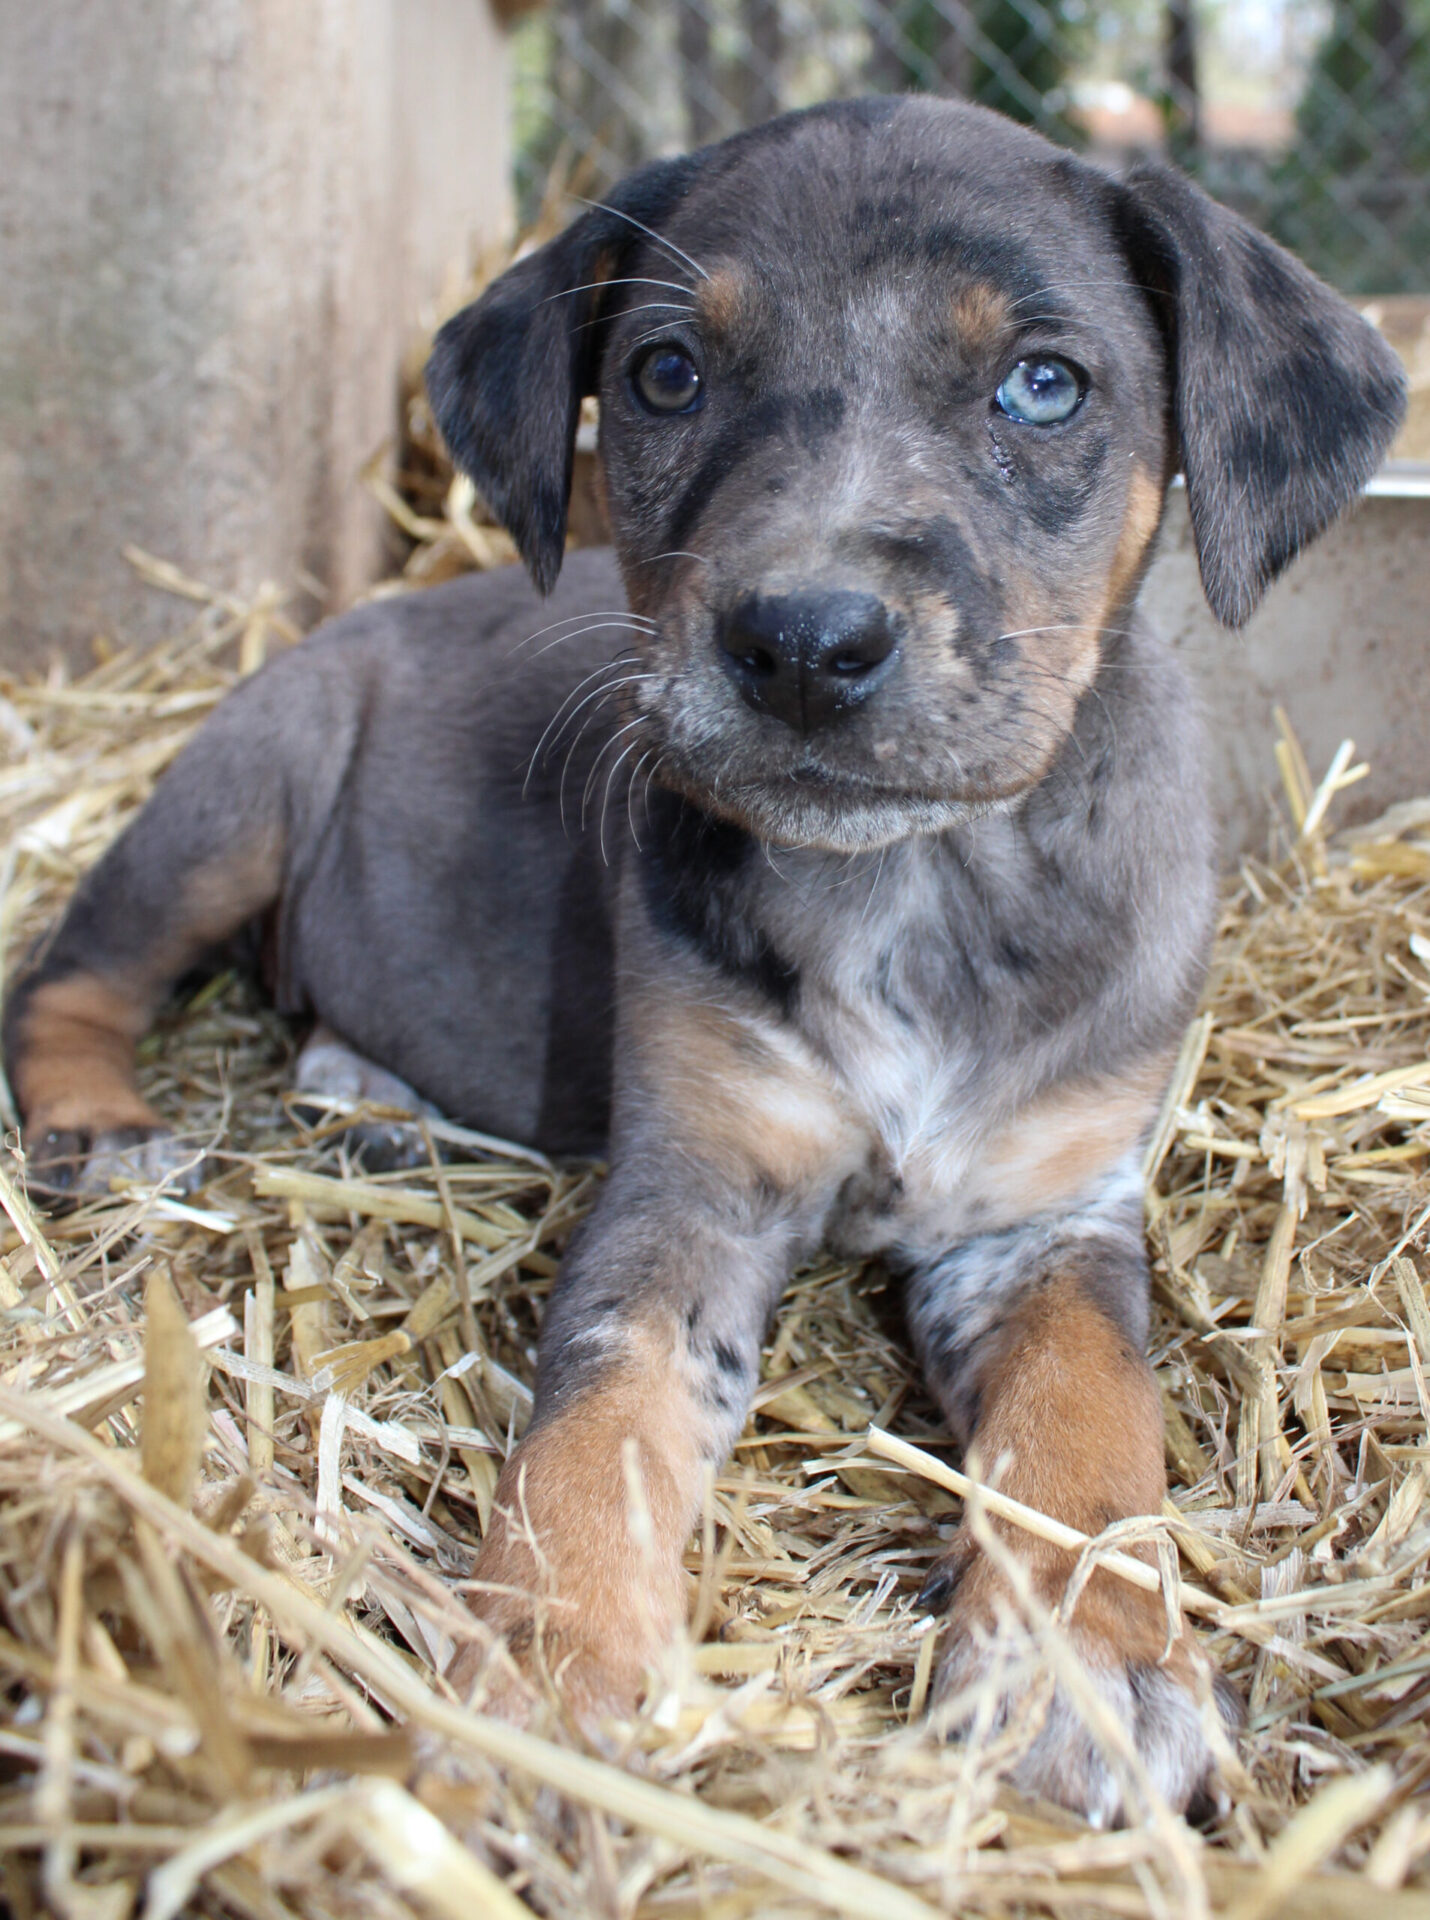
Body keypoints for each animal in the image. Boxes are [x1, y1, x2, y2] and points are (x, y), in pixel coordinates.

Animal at [2, 101, 1405, 1812]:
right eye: (666, 374)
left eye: (1043, 384)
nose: (802, 644)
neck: (908, 886)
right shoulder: (687, 1194)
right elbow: (594, 1434)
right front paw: (543, 1678)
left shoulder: (1045, 1218)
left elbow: (1089, 1417)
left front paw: (1082, 1666)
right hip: (238, 794)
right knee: (68, 975)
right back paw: (102, 1129)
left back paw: (374, 1101)